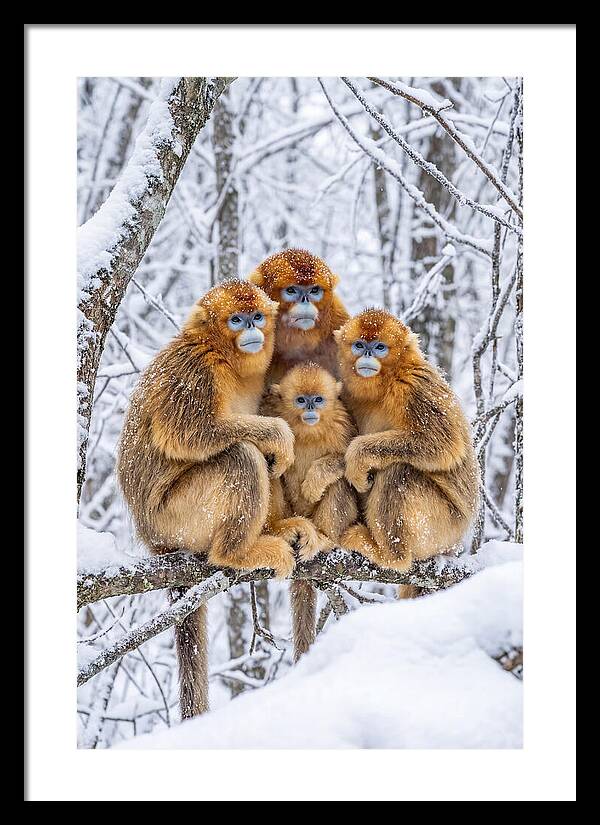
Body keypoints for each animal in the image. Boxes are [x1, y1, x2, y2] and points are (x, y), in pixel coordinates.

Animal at [117, 279, 298, 719]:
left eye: (257, 316)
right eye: (236, 319)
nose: (251, 328)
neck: (226, 359)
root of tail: (153, 539)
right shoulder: (195, 370)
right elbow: (190, 434)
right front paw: (278, 433)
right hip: (177, 518)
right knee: (242, 456)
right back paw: (236, 552)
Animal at [265, 363, 359, 661]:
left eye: (317, 399)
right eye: (300, 400)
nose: (309, 408)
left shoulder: (343, 423)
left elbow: (350, 462)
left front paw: (315, 481)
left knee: (340, 483)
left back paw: (325, 539)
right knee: (269, 469)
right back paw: (280, 529)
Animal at [334, 309, 479, 597]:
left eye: (379, 347)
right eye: (359, 345)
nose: (368, 354)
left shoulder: (414, 385)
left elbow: (444, 444)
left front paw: (357, 456)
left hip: (442, 527)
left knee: (399, 472)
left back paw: (390, 556)